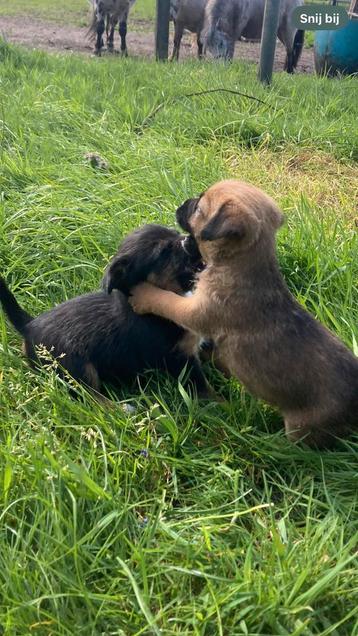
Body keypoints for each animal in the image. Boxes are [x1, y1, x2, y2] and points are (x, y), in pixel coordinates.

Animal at [0, 225, 208, 398]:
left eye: (174, 232)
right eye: (164, 252)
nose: (191, 238)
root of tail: (28, 325)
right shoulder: (180, 360)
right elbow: (205, 389)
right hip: (75, 366)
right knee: (89, 398)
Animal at [131, 179, 358, 448]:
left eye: (198, 208)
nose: (183, 203)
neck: (239, 265)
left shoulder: (196, 312)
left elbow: (168, 301)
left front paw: (143, 293)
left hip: (302, 429)